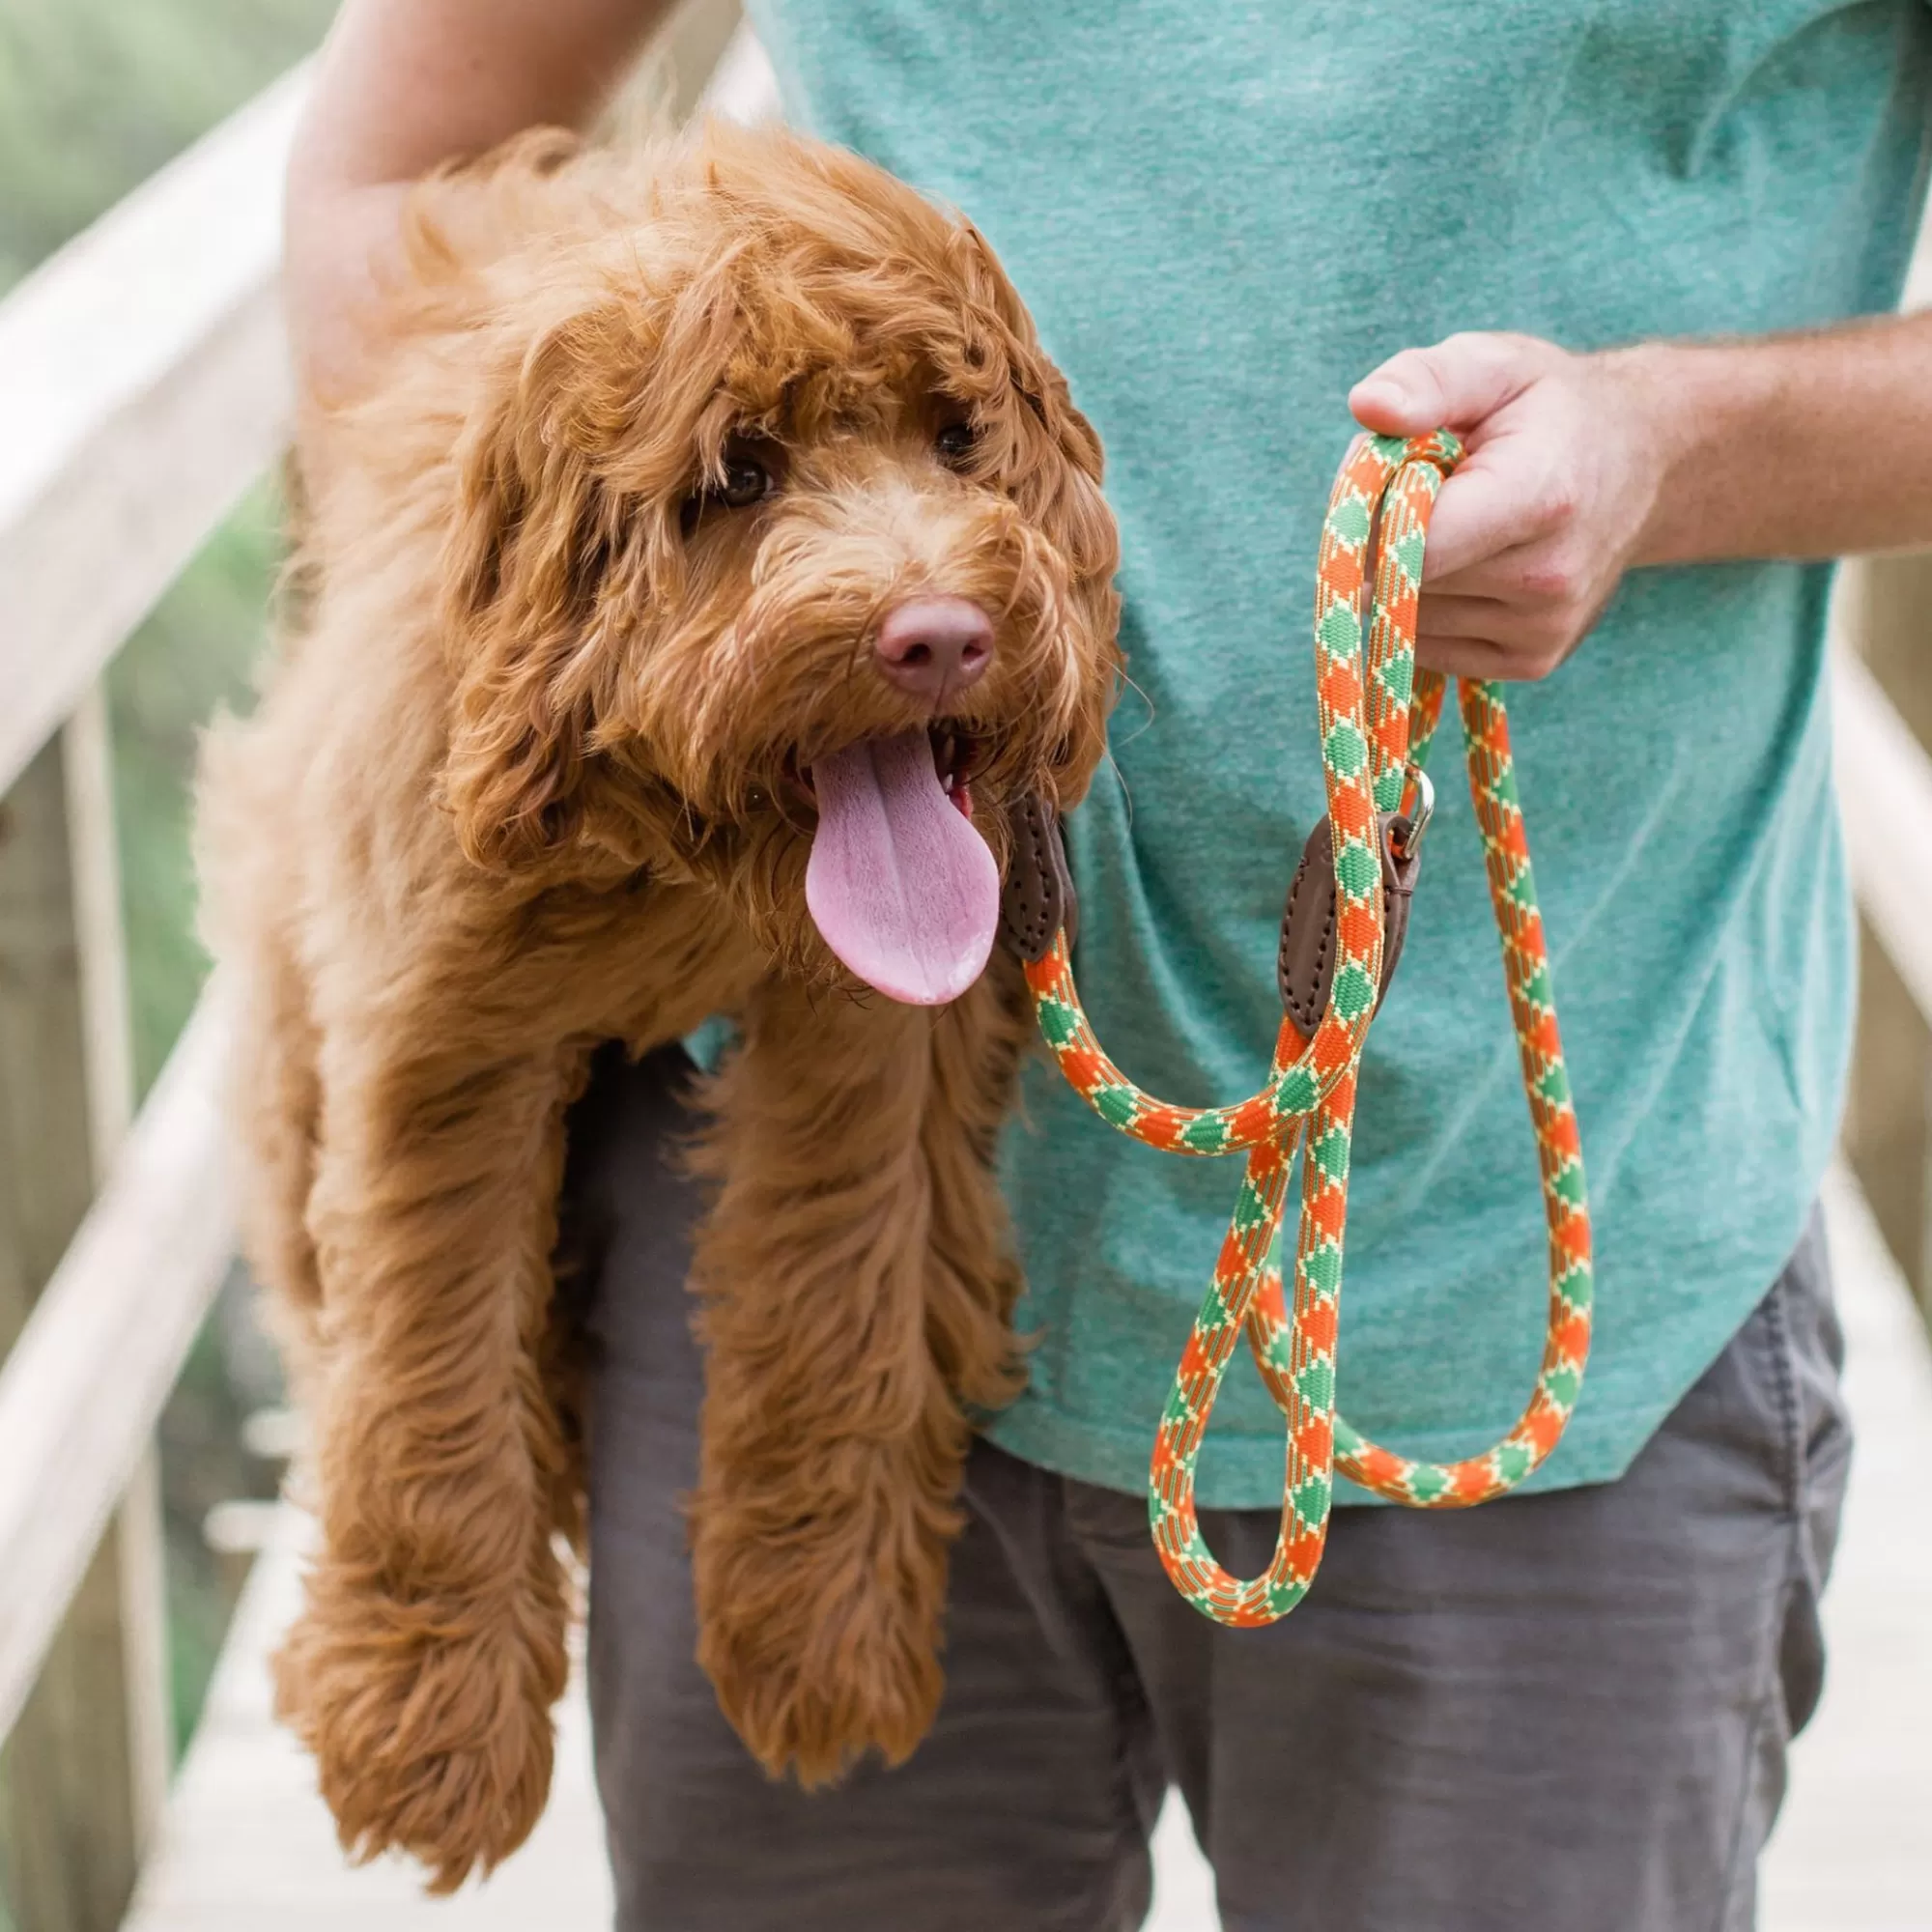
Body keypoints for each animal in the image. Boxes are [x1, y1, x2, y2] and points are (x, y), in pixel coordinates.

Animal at [196, 117, 1121, 1886]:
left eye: (956, 440)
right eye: (737, 475)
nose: (942, 635)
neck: (676, 860)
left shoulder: (876, 1026)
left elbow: (838, 1275)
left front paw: (819, 1632)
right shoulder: (433, 1018)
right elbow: (427, 1346)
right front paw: (426, 1724)